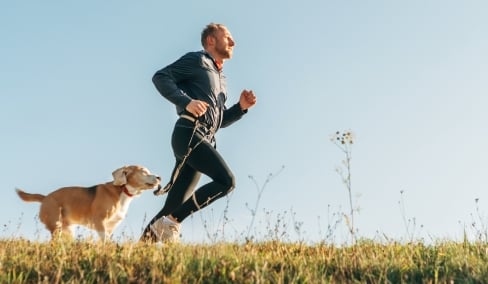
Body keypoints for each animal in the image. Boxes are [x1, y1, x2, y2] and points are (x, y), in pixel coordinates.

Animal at [16, 165, 161, 241]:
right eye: (144, 172)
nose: (159, 177)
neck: (122, 190)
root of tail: (45, 197)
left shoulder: (110, 227)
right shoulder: (99, 222)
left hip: (67, 230)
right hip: (56, 226)